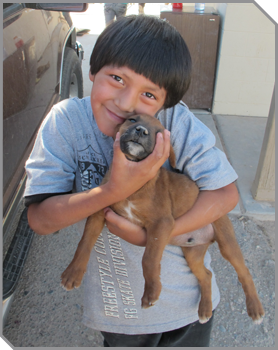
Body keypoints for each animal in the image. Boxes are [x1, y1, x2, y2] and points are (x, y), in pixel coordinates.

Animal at [60, 113, 264, 324]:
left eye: (159, 133)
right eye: (132, 120)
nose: (141, 131)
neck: (133, 175)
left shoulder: (161, 224)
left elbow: (149, 259)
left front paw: (151, 292)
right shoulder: (99, 210)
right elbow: (85, 242)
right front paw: (73, 272)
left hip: (227, 242)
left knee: (244, 272)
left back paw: (255, 309)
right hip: (193, 253)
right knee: (206, 275)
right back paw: (205, 310)